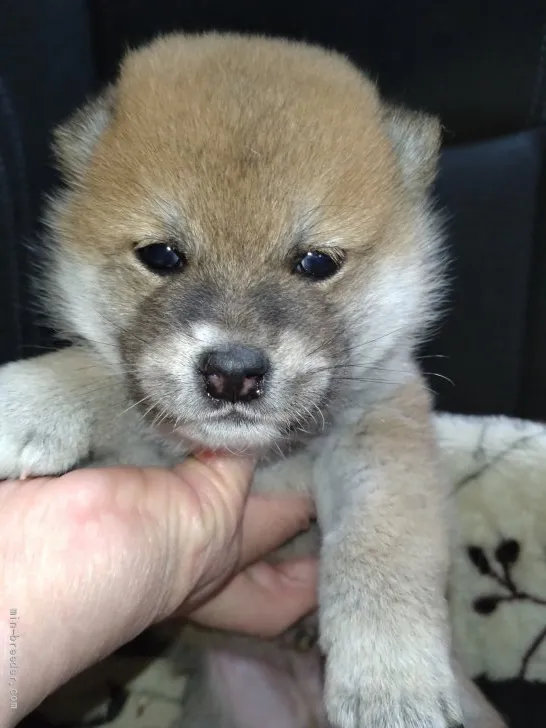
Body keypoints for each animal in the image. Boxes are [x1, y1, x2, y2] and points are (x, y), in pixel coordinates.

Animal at [0, 34, 504, 728]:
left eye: (315, 262)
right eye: (162, 256)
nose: (233, 373)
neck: (266, 464)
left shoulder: (383, 439)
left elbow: (381, 549)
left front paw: (390, 683)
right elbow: (103, 372)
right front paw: (29, 402)